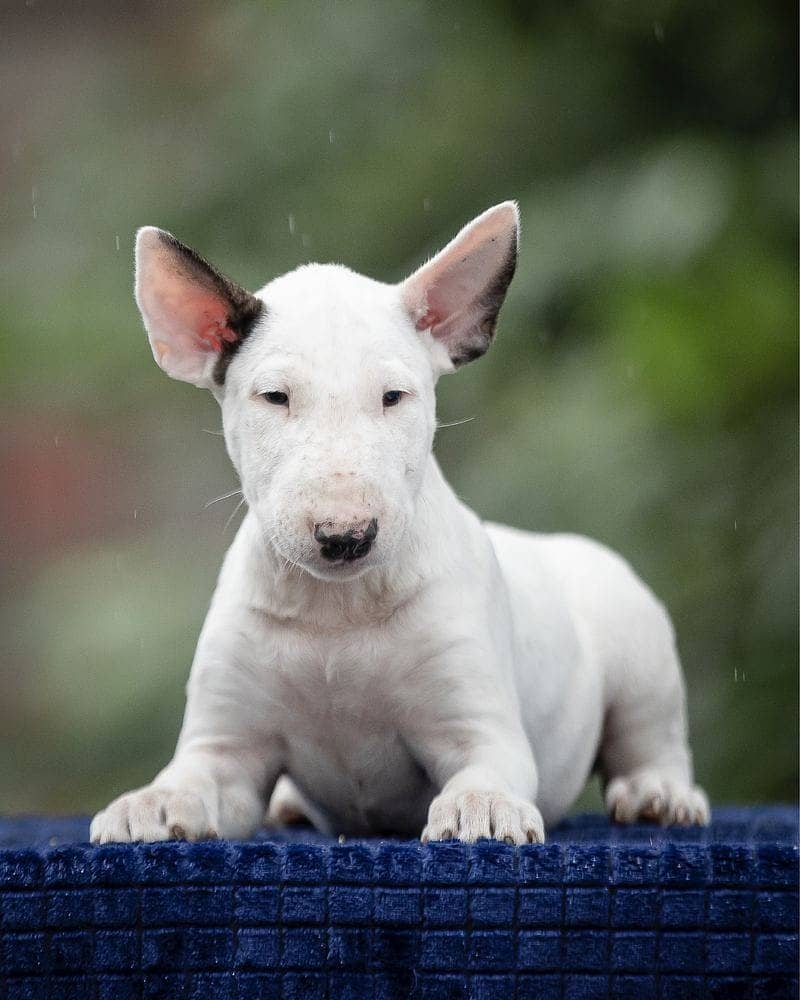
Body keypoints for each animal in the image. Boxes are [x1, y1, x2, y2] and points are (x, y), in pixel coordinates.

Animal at [90, 201, 708, 844]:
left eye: (393, 396)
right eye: (275, 397)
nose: (345, 536)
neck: (335, 612)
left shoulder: (479, 726)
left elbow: (487, 768)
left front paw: (482, 807)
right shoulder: (225, 745)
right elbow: (192, 776)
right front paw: (149, 804)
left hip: (642, 654)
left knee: (652, 737)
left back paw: (660, 795)